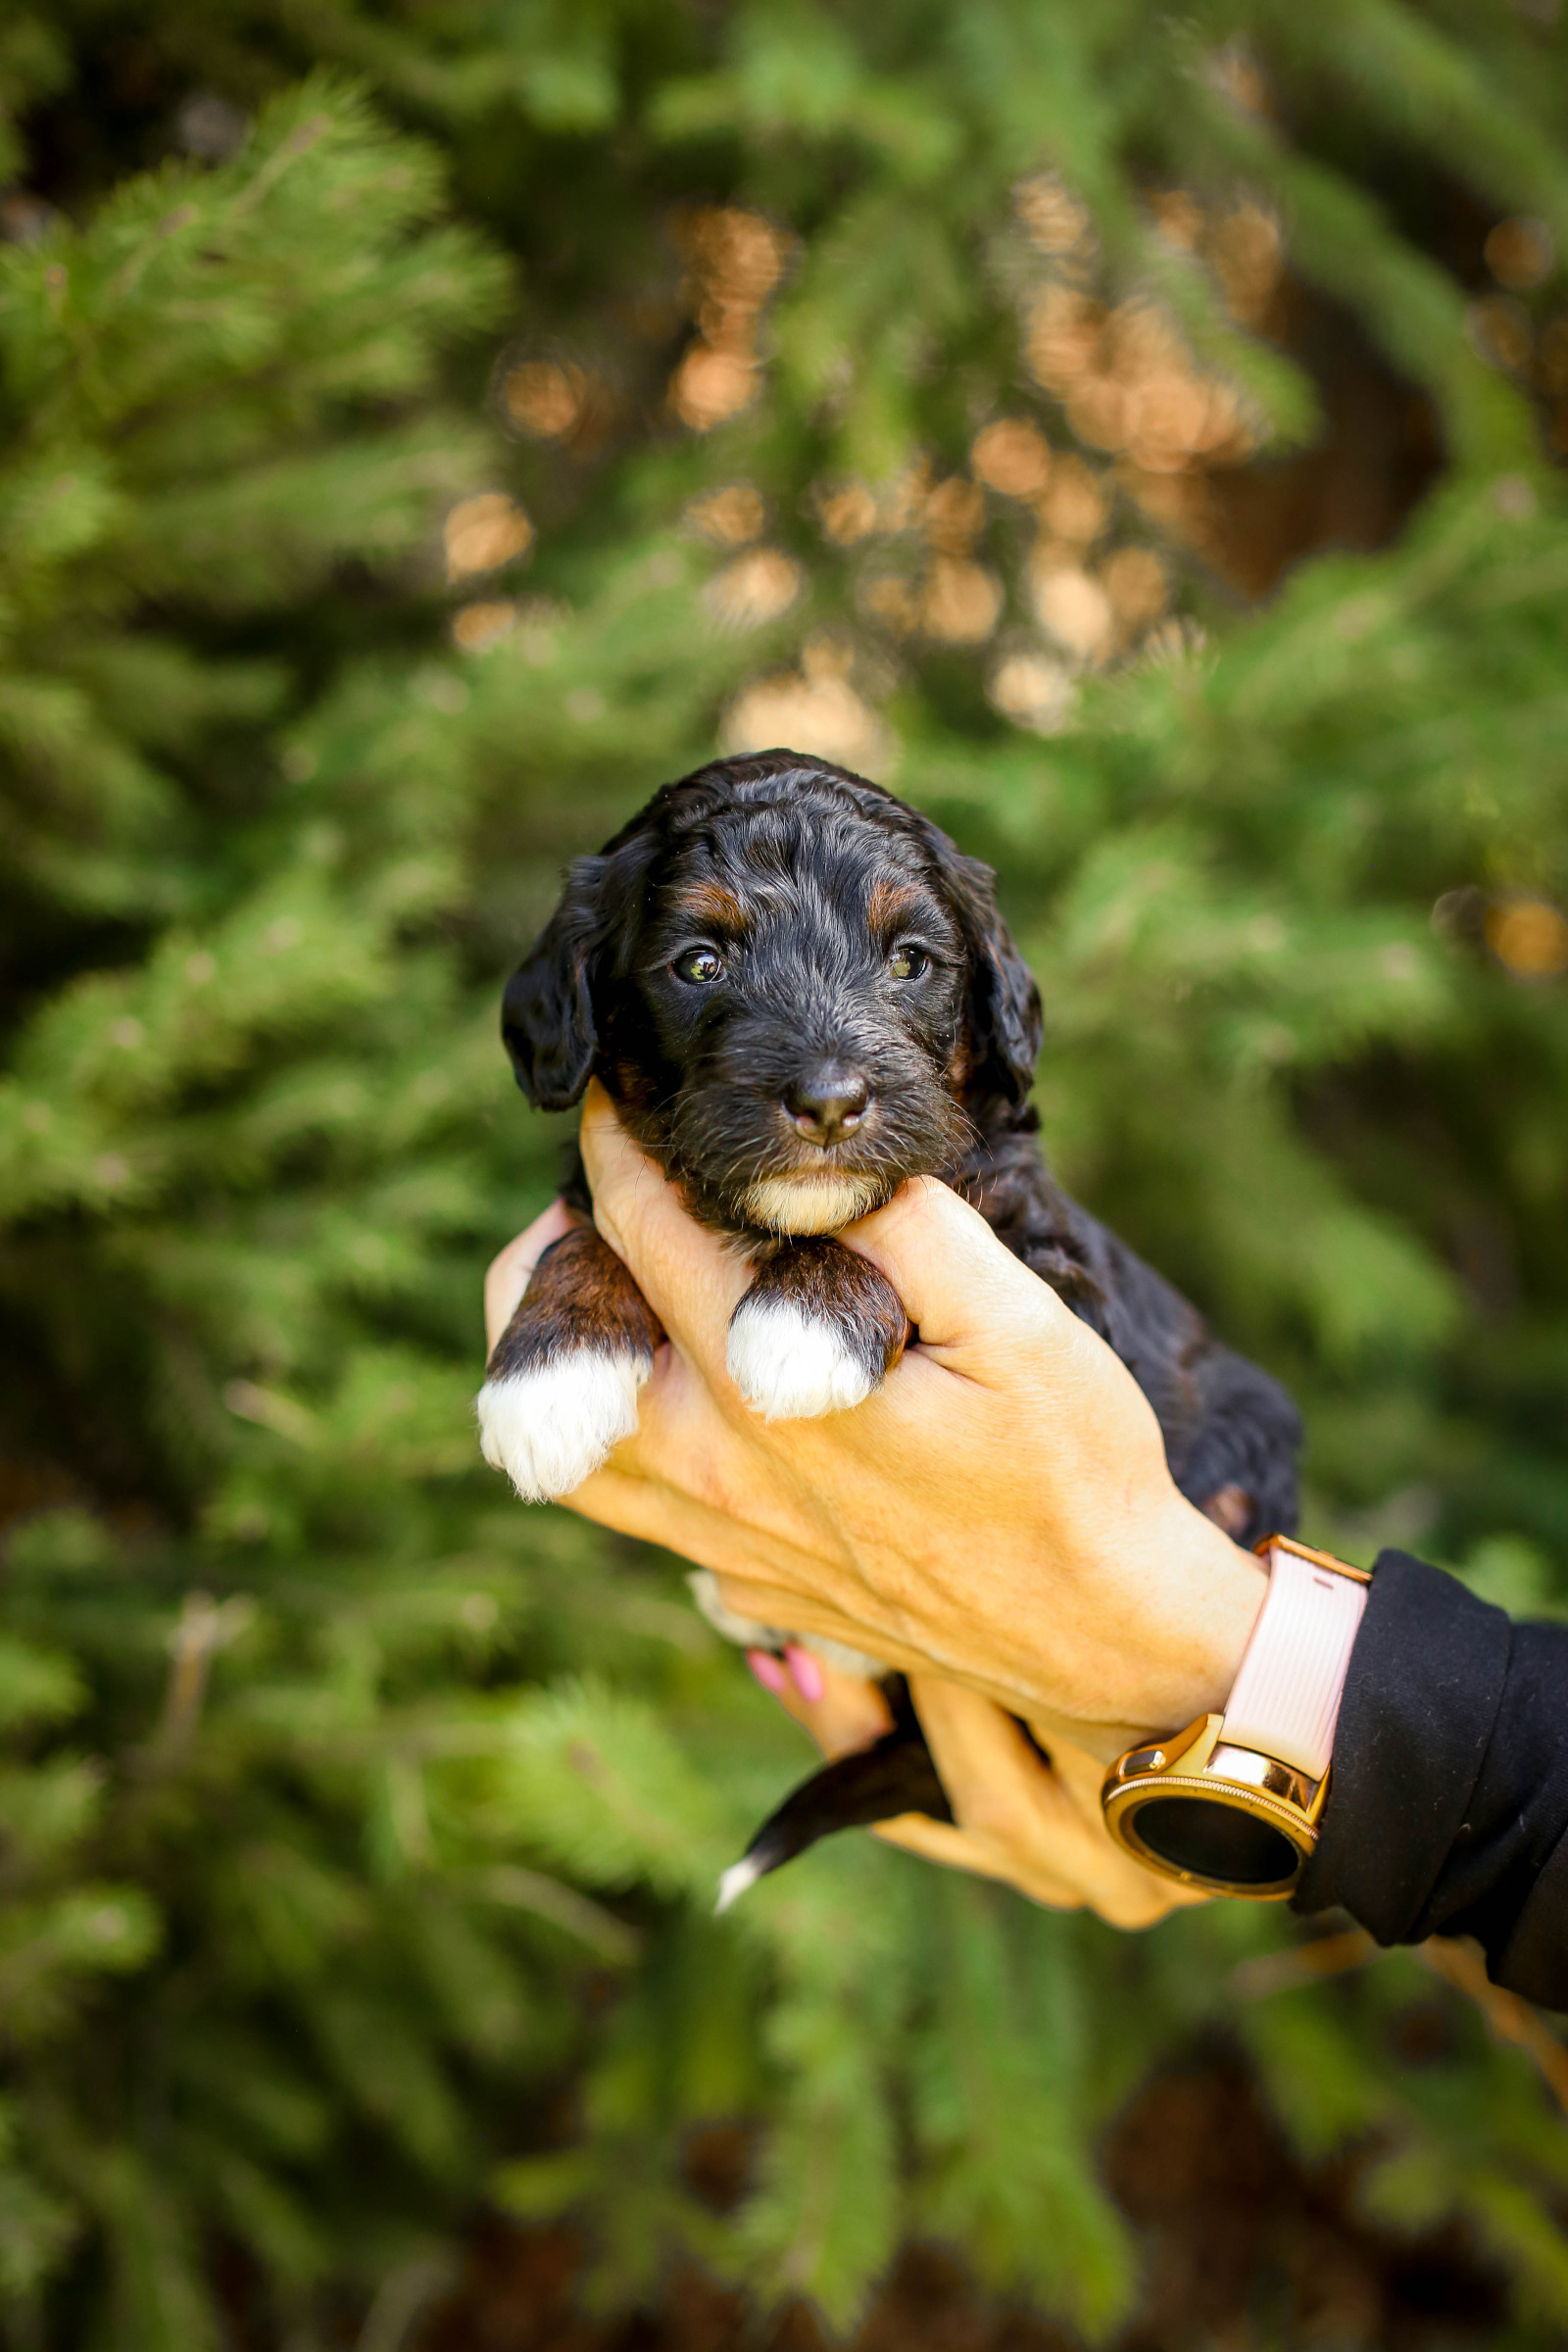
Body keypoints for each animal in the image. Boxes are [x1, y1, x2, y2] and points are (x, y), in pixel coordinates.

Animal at [481, 753, 1298, 1890]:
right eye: (699, 963)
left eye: (910, 961)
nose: (829, 1102)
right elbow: (590, 1230)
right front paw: (549, 1374)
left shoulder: (1055, 1277)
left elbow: (916, 1202)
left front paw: (806, 1319)